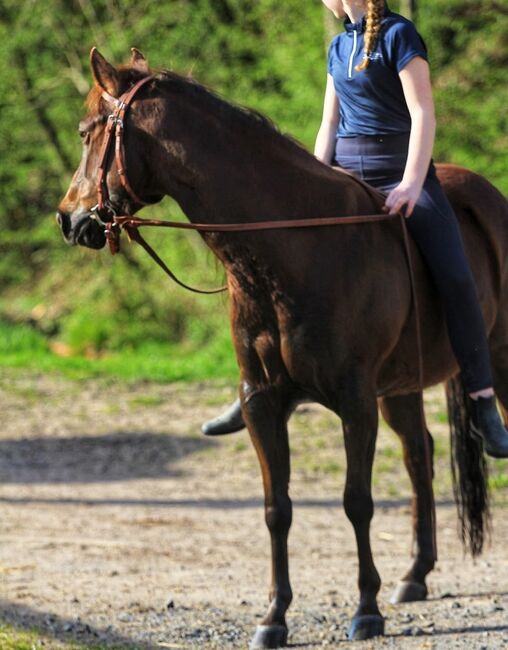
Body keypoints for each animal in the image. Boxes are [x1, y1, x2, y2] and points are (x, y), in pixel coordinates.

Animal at [55, 48, 508, 644]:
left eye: (87, 133)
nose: (67, 219)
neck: (292, 249)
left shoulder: (355, 403)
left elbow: (356, 502)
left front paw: (366, 609)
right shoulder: (263, 402)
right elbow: (277, 509)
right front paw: (274, 617)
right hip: (400, 387)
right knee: (419, 454)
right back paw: (415, 574)